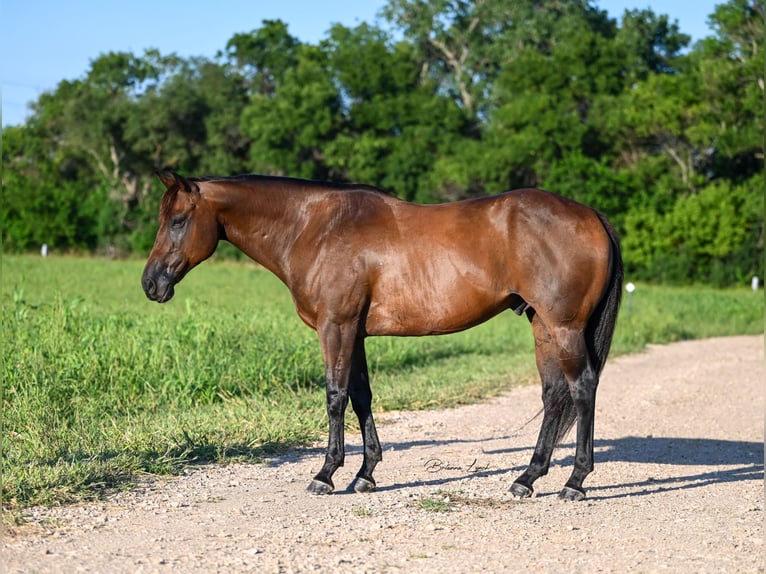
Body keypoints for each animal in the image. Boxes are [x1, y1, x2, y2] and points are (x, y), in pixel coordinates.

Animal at [142, 169, 624, 502]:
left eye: (179, 220)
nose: (150, 283)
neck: (315, 227)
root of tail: (591, 214)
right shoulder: (354, 333)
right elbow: (361, 397)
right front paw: (364, 475)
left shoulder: (336, 327)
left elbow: (335, 397)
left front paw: (325, 474)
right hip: (542, 326)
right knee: (554, 395)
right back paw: (527, 478)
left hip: (563, 328)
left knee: (582, 389)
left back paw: (575, 482)